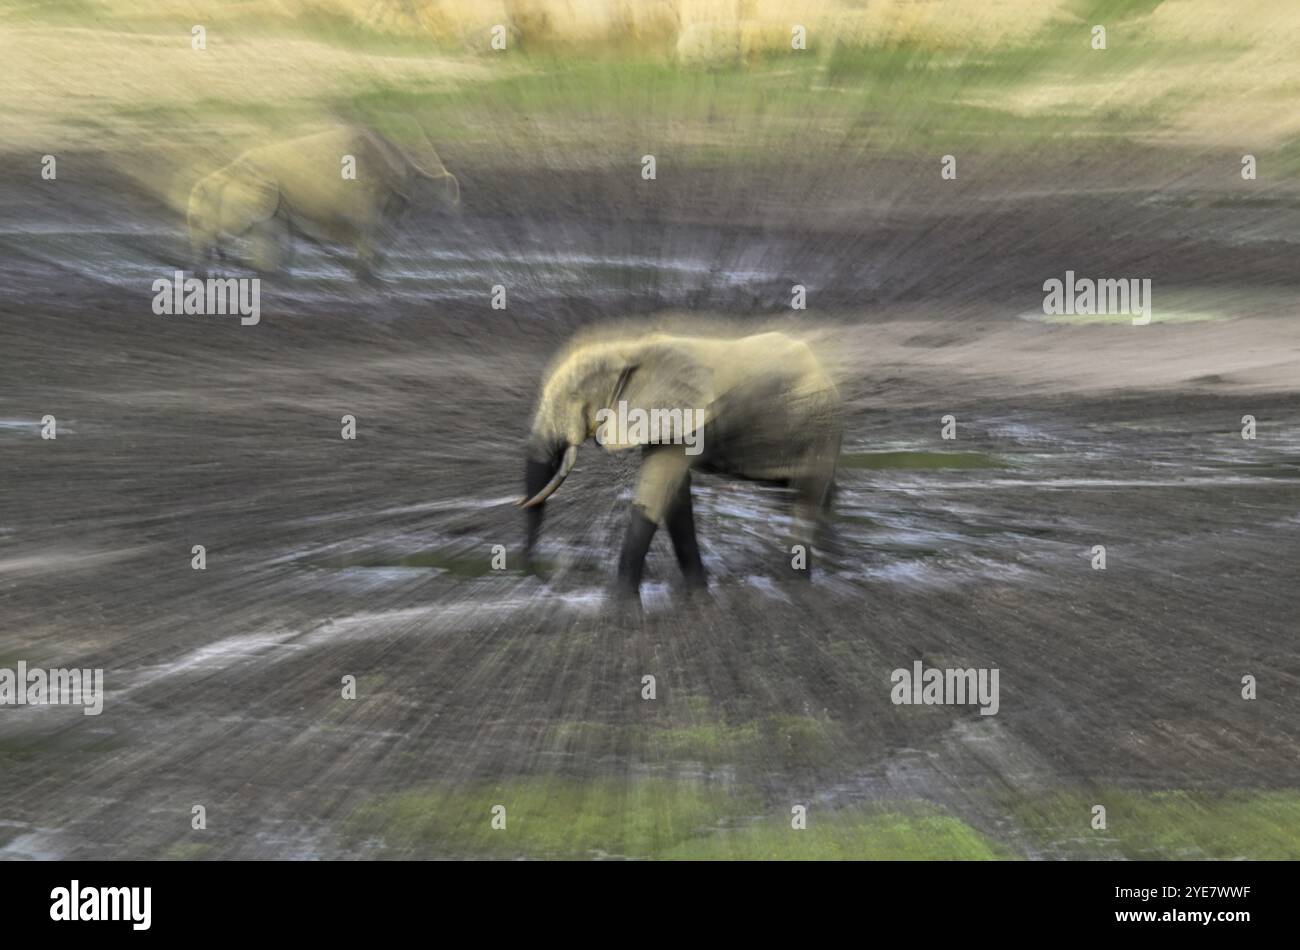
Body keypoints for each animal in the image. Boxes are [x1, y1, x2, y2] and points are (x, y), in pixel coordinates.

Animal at [517, 330, 842, 605]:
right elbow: (675, 505)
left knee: (806, 498)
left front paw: (618, 603)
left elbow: (653, 497)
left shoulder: (682, 420)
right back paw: (830, 566)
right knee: (806, 494)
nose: (544, 575)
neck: (628, 348)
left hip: (818, 424)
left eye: (573, 398)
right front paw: (698, 591)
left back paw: (795, 582)